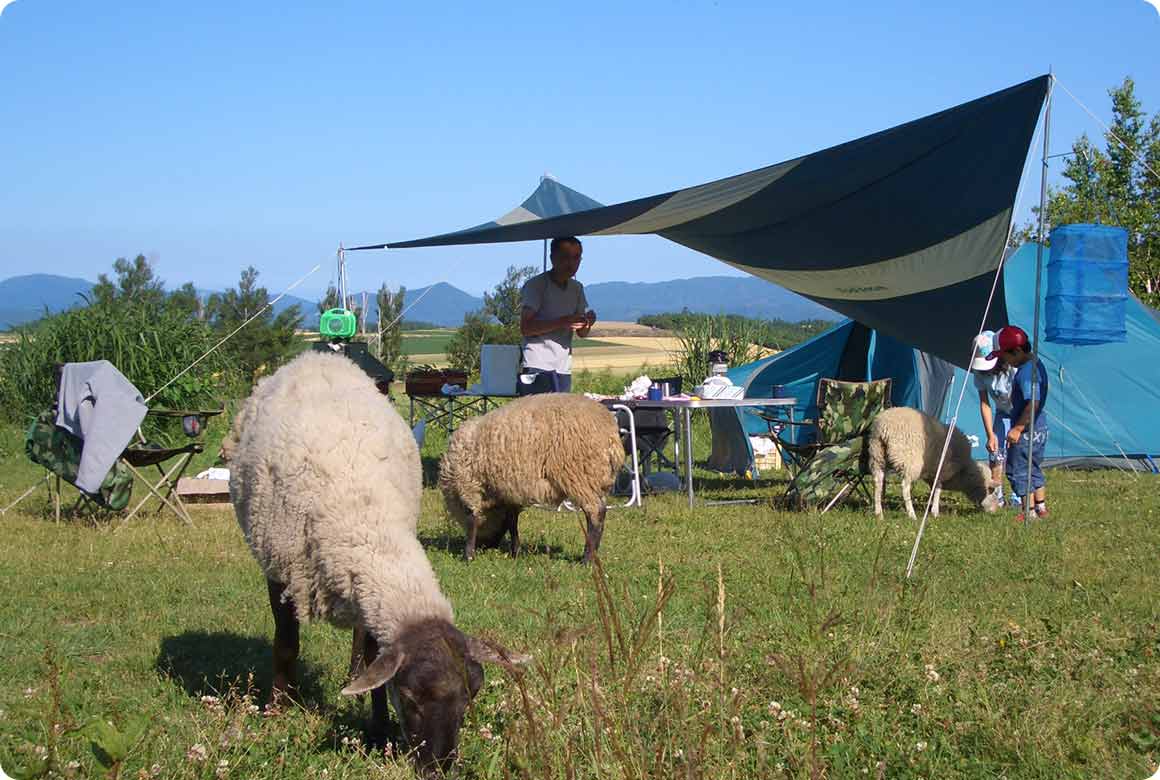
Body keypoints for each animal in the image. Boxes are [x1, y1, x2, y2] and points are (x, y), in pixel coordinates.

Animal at [226, 352, 526, 775]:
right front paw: (279, 708)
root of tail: (317, 355)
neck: (365, 520)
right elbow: (286, 643)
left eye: (471, 697)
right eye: (411, 697)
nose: (439, 769)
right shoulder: (280, 570)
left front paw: (378, 726)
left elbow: (373, 655)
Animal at [438, 392, 631, 564]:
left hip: (579, 476)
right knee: (602, 511)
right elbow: (512, 521)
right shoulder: (508, 491)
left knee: (595, 513)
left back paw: (587, 560)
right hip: (597, 480)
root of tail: (611, 435)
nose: (486, 546)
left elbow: (472, 518)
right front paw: (515, 552)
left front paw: (468, 556)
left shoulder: (470, 486)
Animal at [867, 406, 1002, 520]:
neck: (962, 472)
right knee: (905, 487)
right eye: (993, 491)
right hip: (909, 461)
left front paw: (930, 508)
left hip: (877, 454)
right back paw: (912, 515)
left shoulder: (933, 473)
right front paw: (935, 512)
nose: (995, 511)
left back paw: (879, 514)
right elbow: (938, 489)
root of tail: (884, 426)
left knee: (878, 482)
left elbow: (933, 490)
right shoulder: (941, 470)